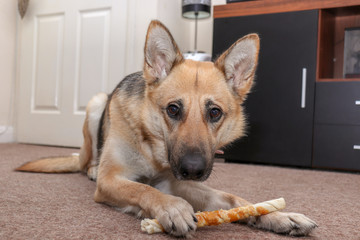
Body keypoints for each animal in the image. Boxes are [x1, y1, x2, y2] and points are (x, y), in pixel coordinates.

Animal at [16, 20, 316, 236]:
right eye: (173, 109)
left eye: (215, 113)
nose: (193, 170)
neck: (151, 149)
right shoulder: (111, 180)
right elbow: (143, 189)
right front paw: (172, 208)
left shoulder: (176, 182)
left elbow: (235, 199)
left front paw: (276, 215)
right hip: (96, 104)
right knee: (86, 160)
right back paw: (90, 168)